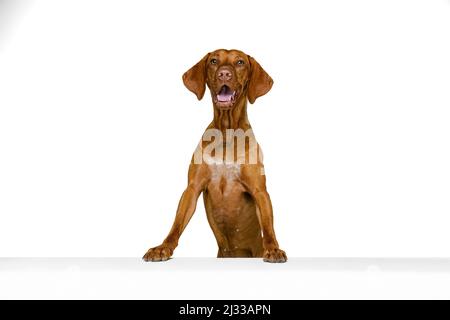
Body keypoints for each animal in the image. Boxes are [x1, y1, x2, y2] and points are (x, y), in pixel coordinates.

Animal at [142, 48, 286, 262]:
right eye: (214, 61)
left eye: (240, 62)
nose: (224, 74)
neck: (227, 133)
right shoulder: (192, 188)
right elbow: (177, 224)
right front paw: (163, 248)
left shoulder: (260, 191)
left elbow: (268, 226)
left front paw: (273, 249)